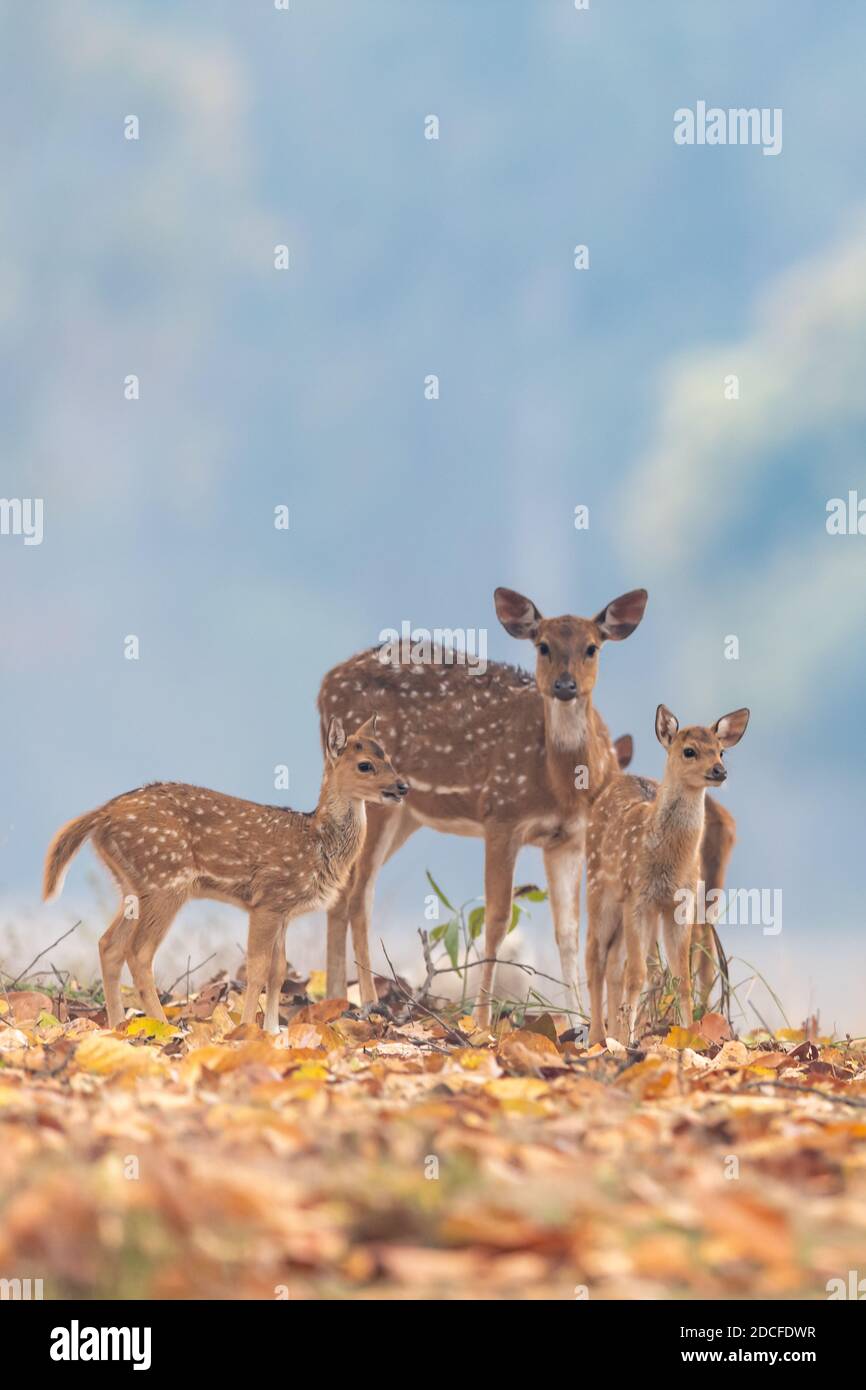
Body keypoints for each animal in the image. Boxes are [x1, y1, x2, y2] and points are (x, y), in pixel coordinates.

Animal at [42, 715, 408, 1032]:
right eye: (365, 765)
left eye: (388, 757)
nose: (402, 786)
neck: (318, 842)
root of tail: (101, 815)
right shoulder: (267, 900)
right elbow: (257, 970)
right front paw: (247, 1029)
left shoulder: (285, 910)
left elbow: (278, 971)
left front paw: (273, 1030)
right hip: (165, 880)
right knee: (139, 952)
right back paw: (163, 1026)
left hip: (133, 885)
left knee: (109, 944)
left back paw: (119, 1025)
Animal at [318, 586, 650, 1026]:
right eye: (543, 645)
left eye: (592, 647)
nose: (564, 686)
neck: (562, 786)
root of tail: (325, 682)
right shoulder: (501, 814)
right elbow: (496, 920)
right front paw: (480, 1019)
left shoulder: (569, 839)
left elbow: (568, 931)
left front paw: (579, 1021)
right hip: (374, 798)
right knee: (360, 895)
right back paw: (369, 1001)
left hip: (406, 813)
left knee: (341, 890)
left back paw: (335, 1000)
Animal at [585, 704, 749, 1047]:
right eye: (689, 751)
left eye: (721, 751)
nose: (719, 771)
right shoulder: (638, 897)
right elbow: (636, 974)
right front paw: (627, 1040)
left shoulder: (679, 904)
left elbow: (680, 975)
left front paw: (688, 1035)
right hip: (598, 886)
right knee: (596, 955)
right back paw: (598, 1037)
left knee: (616, 963)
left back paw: (613, 1032)